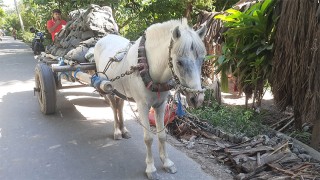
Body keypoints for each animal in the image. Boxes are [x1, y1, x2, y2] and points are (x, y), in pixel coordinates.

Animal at [94, 19, 206, 179]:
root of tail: (104, 38)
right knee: (114, 109)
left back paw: (124, 130)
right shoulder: (142, 106)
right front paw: (151, 168)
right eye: (179, 62)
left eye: (202, 60)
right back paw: (117, 131)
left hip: (119, 90)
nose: (197, 99)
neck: (150, 67)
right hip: (107, 87)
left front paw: (167, 163)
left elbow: (162, 136)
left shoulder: (160, 105)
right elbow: (148, 138)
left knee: (119, 107)